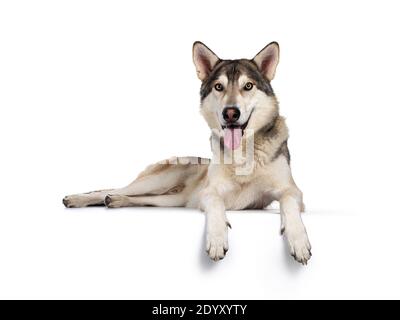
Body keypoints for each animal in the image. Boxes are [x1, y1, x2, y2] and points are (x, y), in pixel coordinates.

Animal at [63, 40, 312, 264]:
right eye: (219, 87)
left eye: (248, 86)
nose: (230, 113)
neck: (243, 154)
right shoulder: (209, 192)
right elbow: (216, 205)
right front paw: (217, 239)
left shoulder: (292, 191)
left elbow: (289, 205)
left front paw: (299, 241)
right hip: (159, 181)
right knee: (112, 188)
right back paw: (78, 198)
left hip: (171, 200)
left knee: (137, 198)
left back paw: (115, 201)